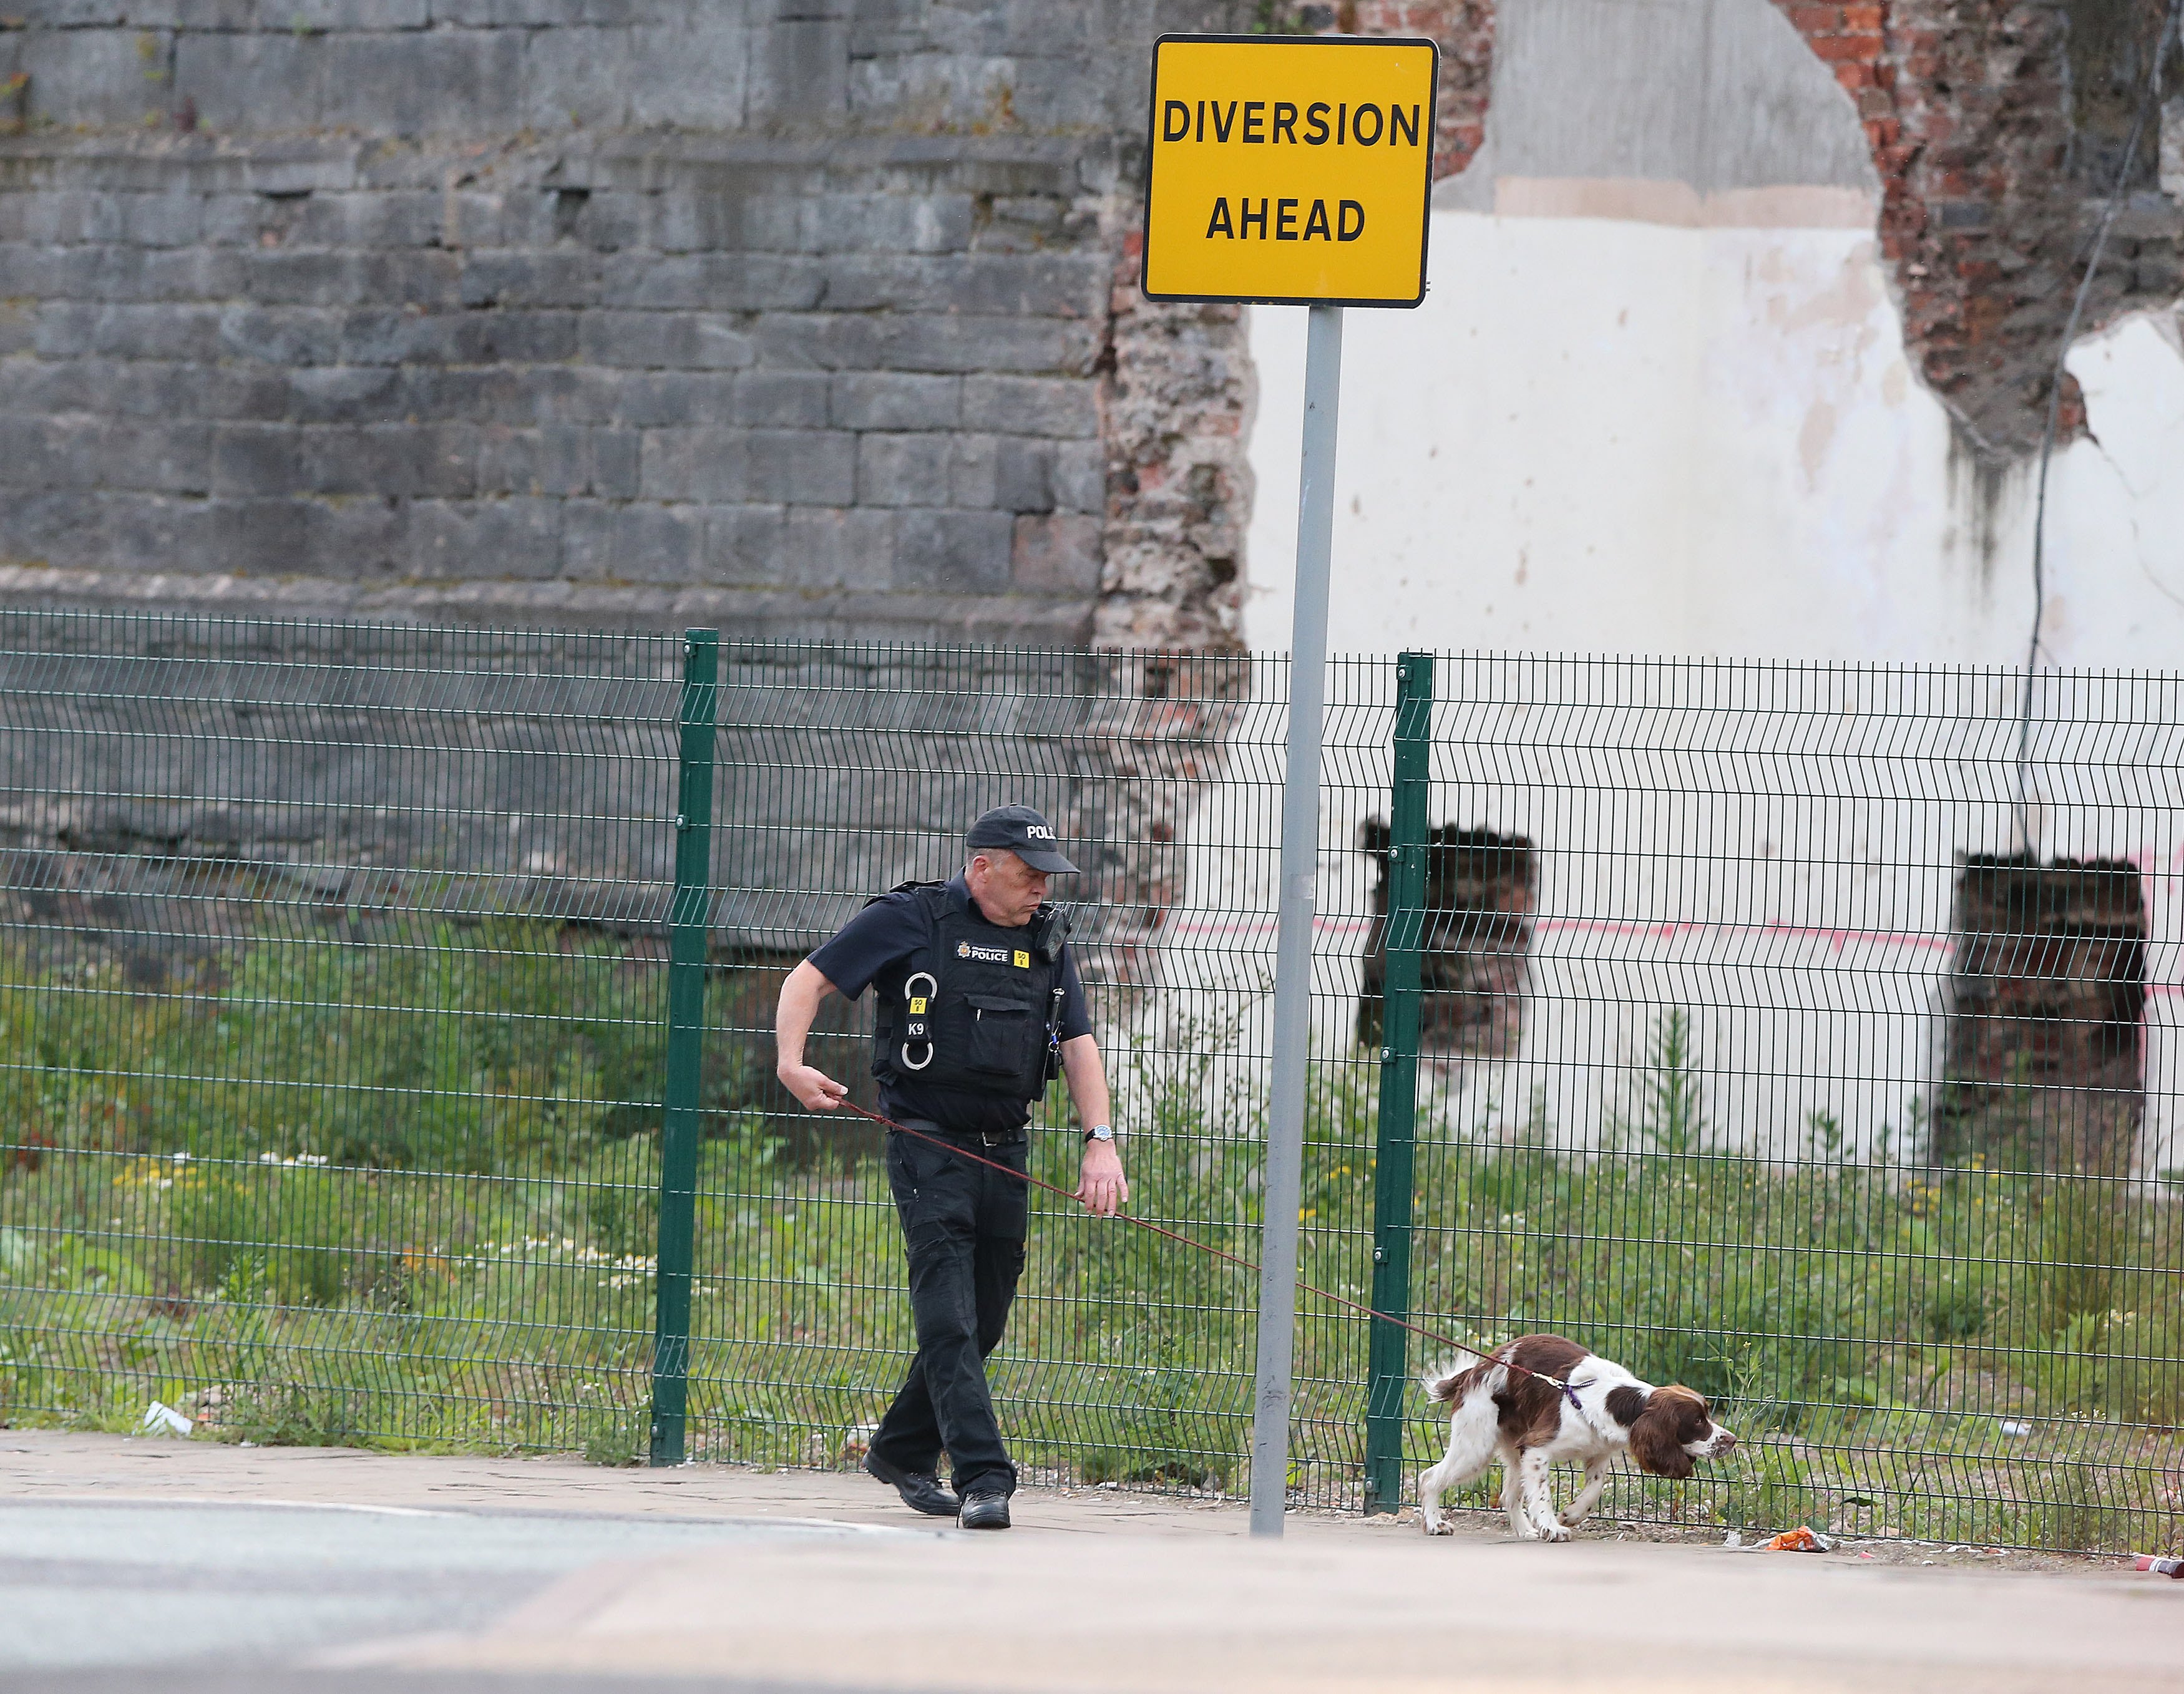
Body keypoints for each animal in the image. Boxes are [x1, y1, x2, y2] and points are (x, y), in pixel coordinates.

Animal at [1415, 1336, 1738, 1537]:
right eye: (1697, 1421)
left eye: (1707, 1414)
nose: (1732, 1440)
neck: (1612, 1399)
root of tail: (1478, 1370)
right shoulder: (1537, 1448)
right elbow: (1543, 1494)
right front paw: (1553, 1527)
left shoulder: (1598, 1453)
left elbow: (1595, 1488)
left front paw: (1571, 1514)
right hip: (1476, 1447)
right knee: (1429, 1478)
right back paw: (1435, 1524)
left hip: (1512, 1450)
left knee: (1508, 1495)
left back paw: (1525, 1531)